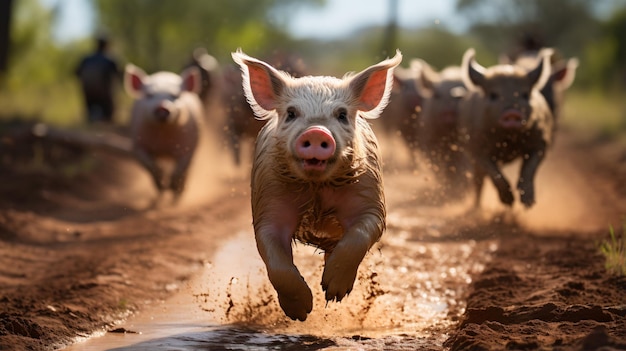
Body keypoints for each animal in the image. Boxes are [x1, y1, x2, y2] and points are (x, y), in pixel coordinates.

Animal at [120, 64, 201, 205]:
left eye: (175, 96)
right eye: (149, 95)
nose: (162, 107)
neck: (163, 139)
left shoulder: (188, 147)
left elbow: (180, 169)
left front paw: (172, 188)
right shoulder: (138, 146)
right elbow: (151, 166)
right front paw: (163, 186)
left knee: (186, 171)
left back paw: (176, 196)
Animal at [229, 48, 400, 322]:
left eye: (341, 114)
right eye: (291, 113)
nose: (317, 132)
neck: (316, 190)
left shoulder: (371, 197)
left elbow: (360, 234)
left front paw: (334, 293)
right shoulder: (267, 203)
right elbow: (275, 259)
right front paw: (301, 313)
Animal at [456, 48, 552, 209]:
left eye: (525, 95)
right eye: (493, 95)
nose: (512, 113)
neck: (509, 139)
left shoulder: (540, 143)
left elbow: (529, 169)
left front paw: (528, 203)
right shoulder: (477, 149)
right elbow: (495, 173)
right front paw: (508, 202)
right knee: (479, 181)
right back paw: (476, 209)